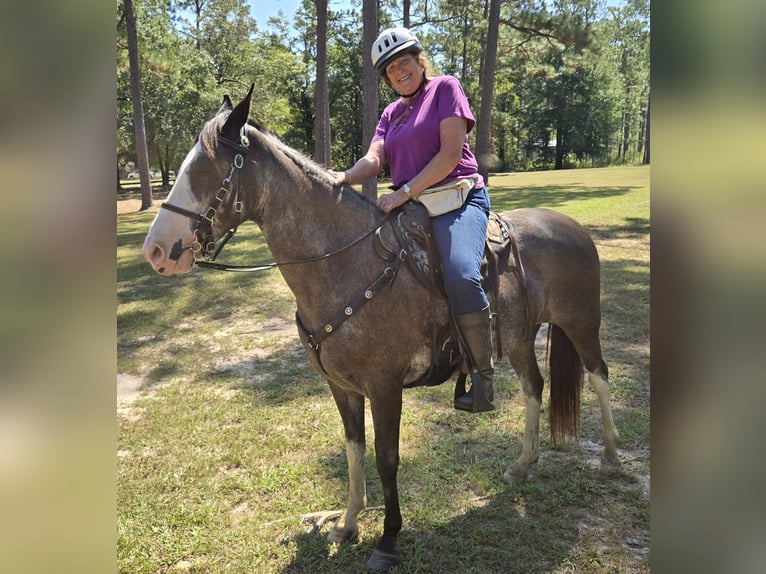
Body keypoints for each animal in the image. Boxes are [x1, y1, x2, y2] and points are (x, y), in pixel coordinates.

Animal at [142, 86, 620, 572]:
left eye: (205, 169)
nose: (156, 251)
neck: (348, 263)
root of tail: (573, 227)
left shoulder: (385, 387)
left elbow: (387, 459)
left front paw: (388, 539)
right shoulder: (342, 387)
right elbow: (355, 451)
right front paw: (347, 523)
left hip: (582, 324)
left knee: (599, 376)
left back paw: (612, 455)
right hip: (521, 338)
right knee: (533, 387)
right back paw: (523, 463)